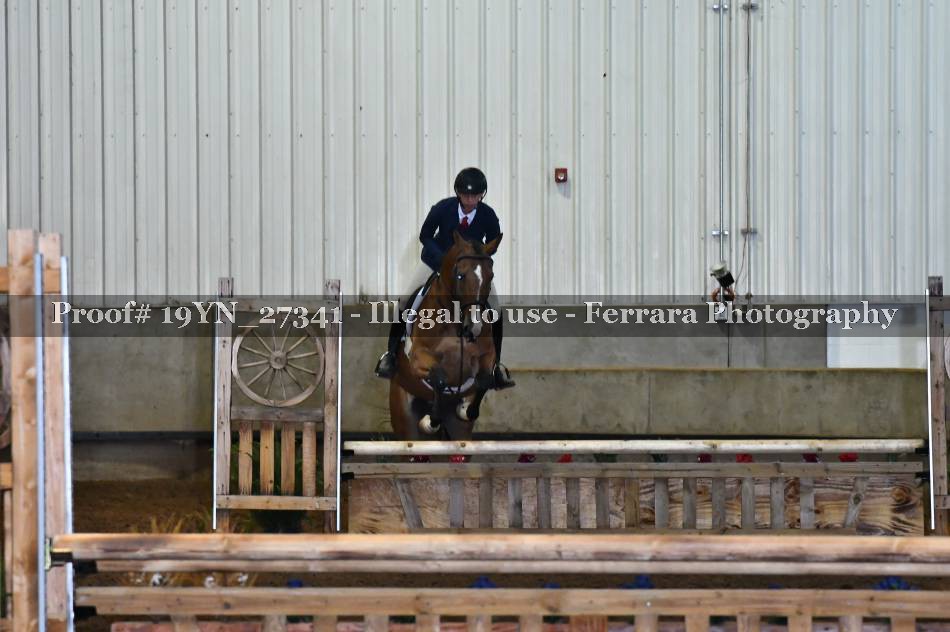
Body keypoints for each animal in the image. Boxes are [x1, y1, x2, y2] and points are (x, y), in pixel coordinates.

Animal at [388, 231, 502, 445]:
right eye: (460, 276)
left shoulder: (487, 355)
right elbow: (439, 379)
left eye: (490, 276)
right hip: (405, 419)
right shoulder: (418, 356)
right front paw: (430, 422)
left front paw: (466, 409)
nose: (474, 327)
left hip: (460, 431)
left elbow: (484, 380)